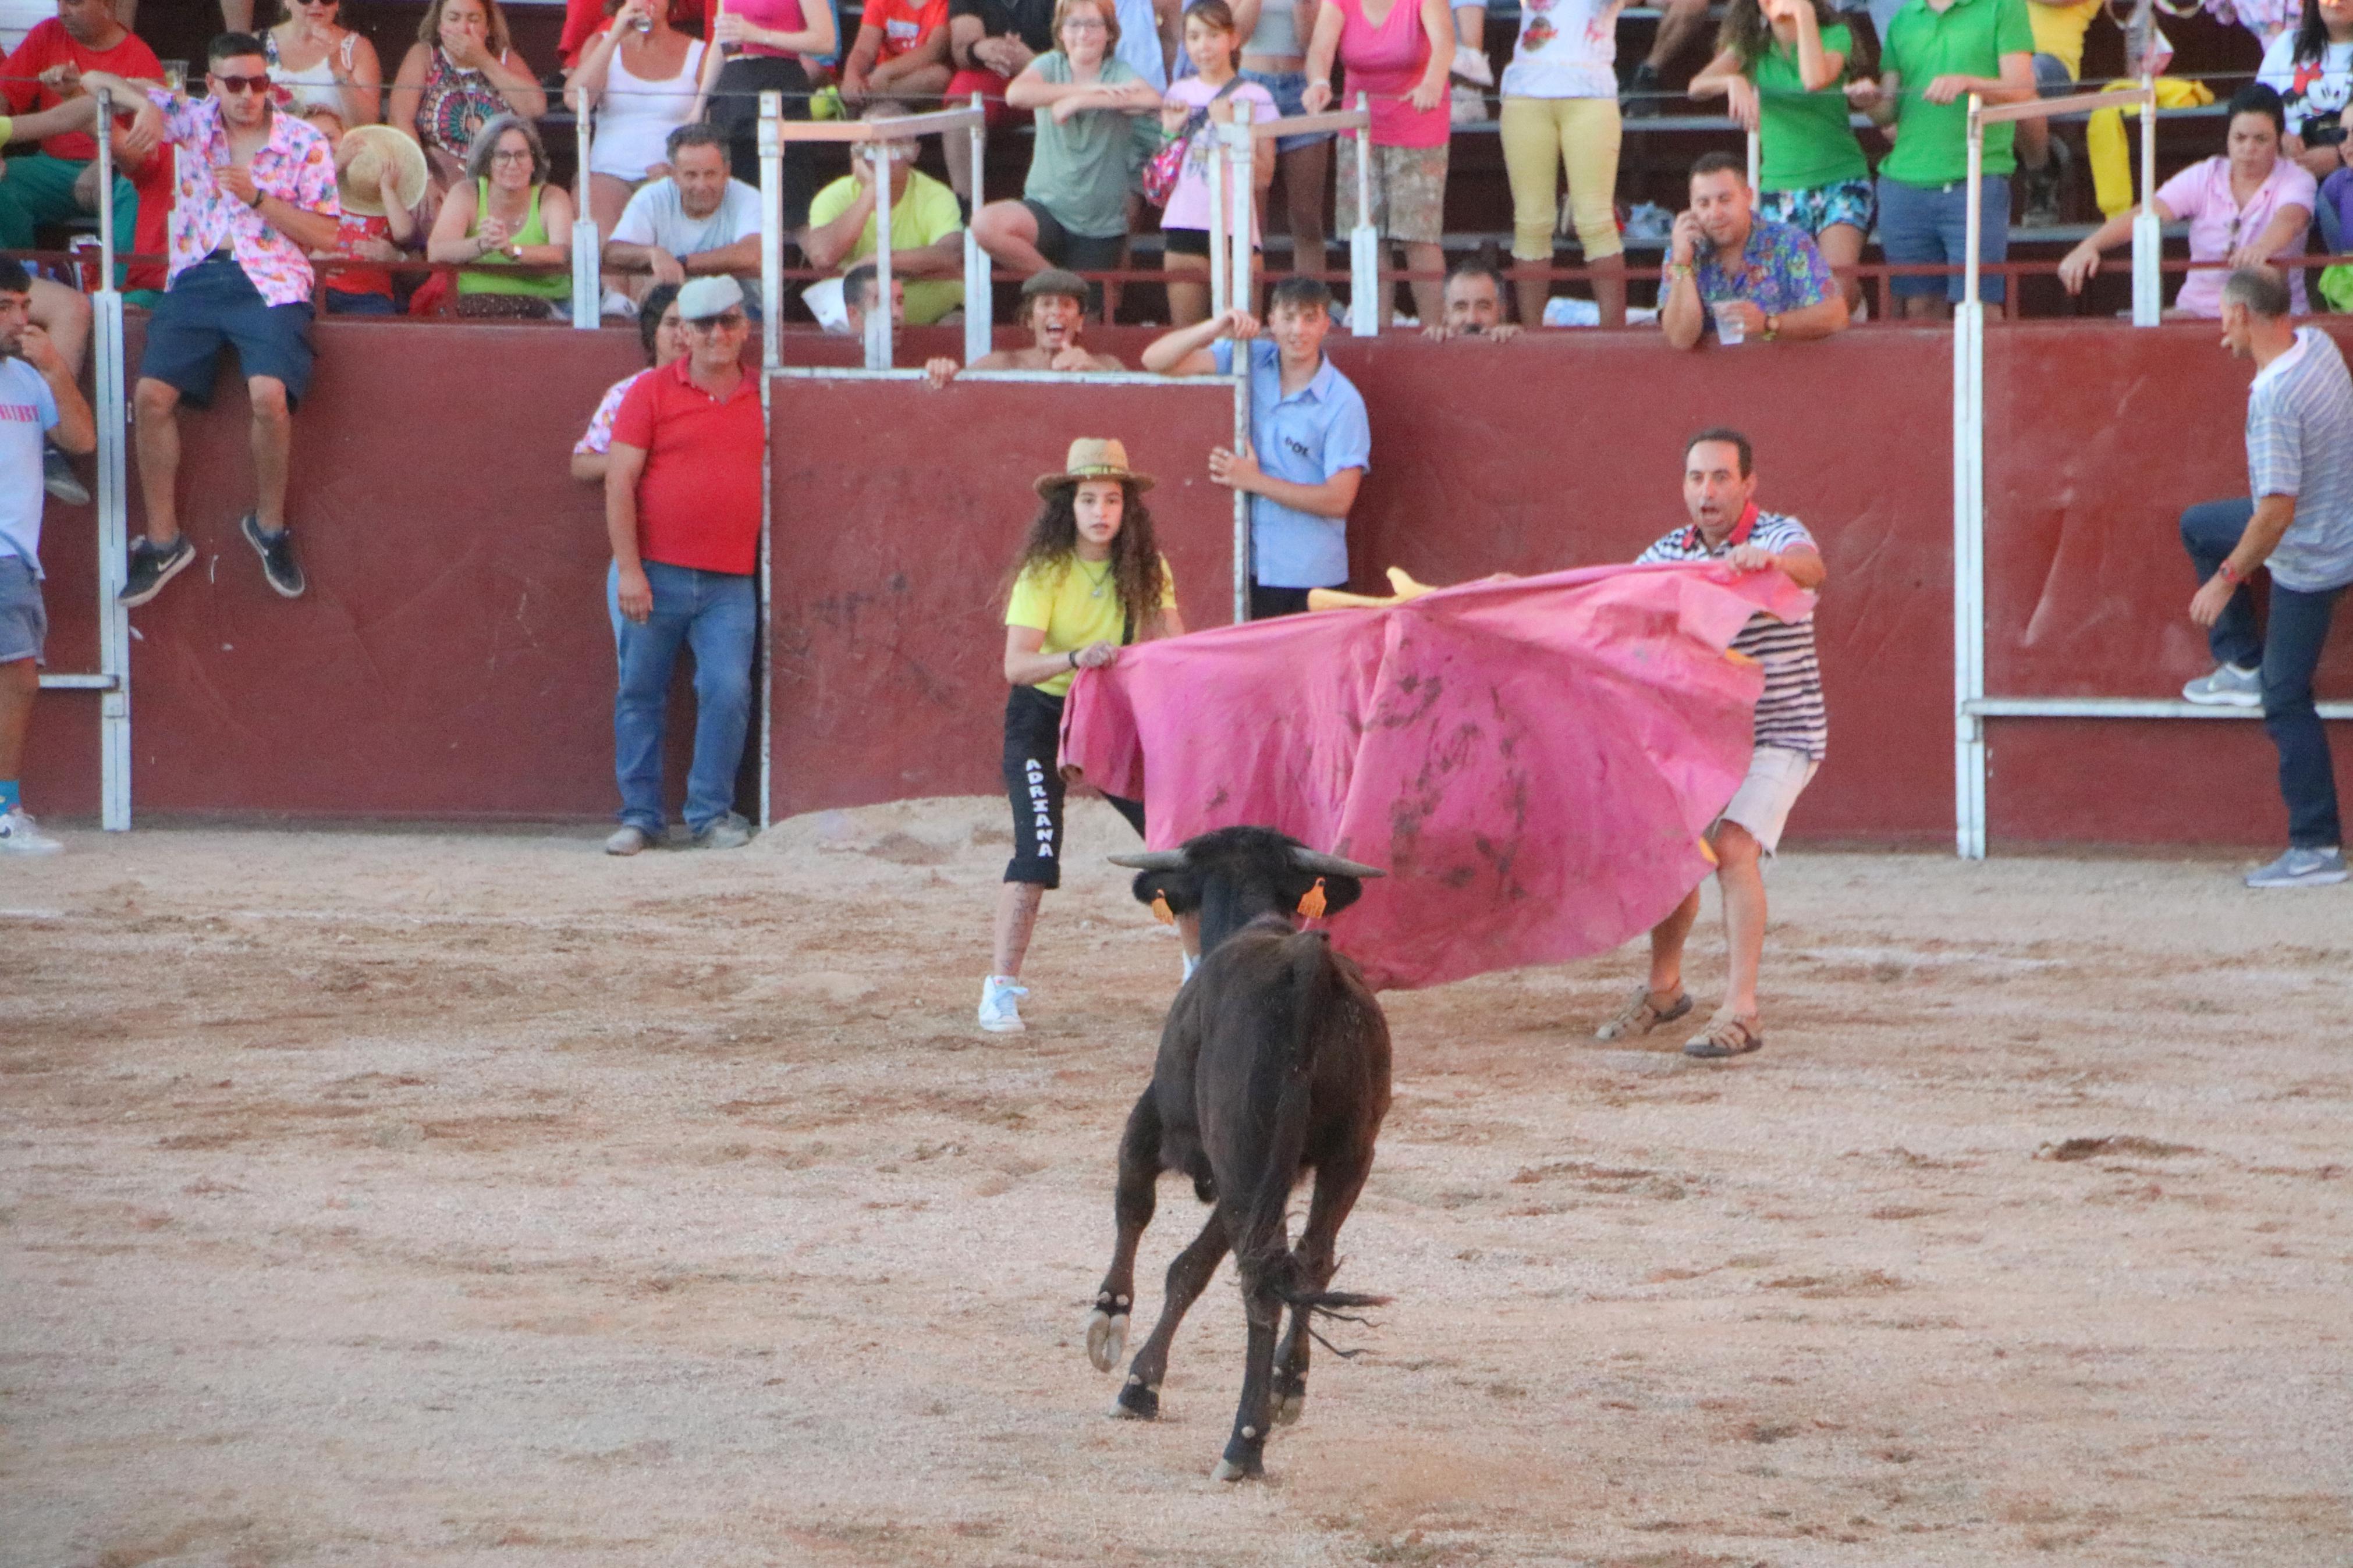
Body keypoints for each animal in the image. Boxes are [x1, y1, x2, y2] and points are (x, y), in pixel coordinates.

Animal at [1087, 827, 1393, 1476]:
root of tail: (1307, 968)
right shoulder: (1271, 1175)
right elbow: (1193, 1265)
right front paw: (1142, 1382)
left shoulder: (1157, 1123)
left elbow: (1134, 1203)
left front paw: (1110, 1323)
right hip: (1349, 1155)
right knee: (1308, 1258)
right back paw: (1286, 1386)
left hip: (1242, 1149)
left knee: (1260, 1283)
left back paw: (1244, 1443)